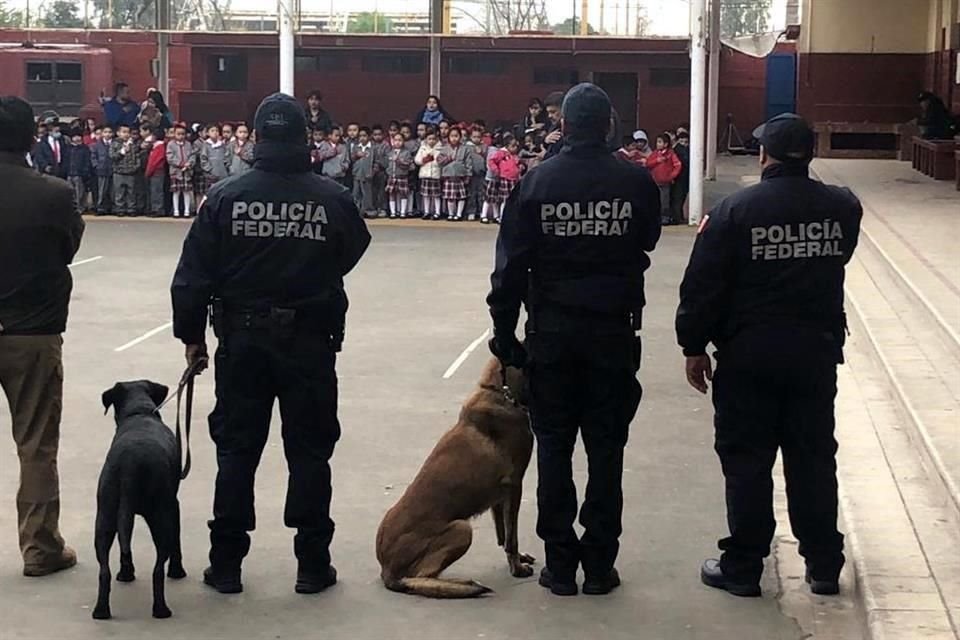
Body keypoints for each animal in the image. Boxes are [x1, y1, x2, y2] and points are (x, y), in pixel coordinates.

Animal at [94, 380, 188, 620]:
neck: (139, 412)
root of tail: (130, 464)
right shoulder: (174, 505)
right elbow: (177, 541)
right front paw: (177, 571)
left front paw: (126, 572)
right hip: (161, 518)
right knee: (158, 569)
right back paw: (161, 610)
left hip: (105, 517)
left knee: (104, 570)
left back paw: (101, 611)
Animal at [376, 358, 536, 596]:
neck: (500, 392)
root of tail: (386, 570)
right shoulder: (515, 484)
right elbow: (511, 537)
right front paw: (516, 568)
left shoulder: (500, 496)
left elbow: (503, 534)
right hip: (462, 529)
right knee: (420, 576)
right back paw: (463, 584)